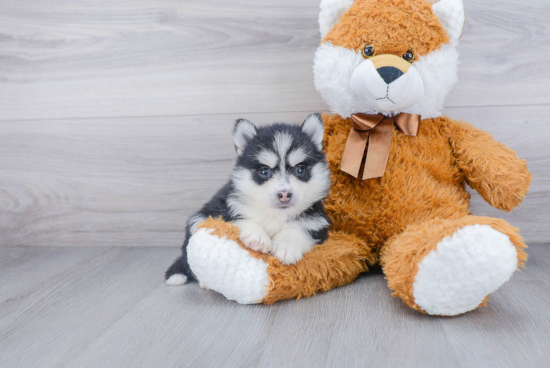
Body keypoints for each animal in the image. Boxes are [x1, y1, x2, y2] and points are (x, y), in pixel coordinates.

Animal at [166, 113, 332, 286]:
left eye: (300, 169)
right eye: (264, 171)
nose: (284, 194)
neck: (275, 214)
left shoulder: (317, 222)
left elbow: (297, 228)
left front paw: (287, 246)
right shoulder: (227, 209)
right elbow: (243, 220)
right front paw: (258, 237)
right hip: (197, 220)